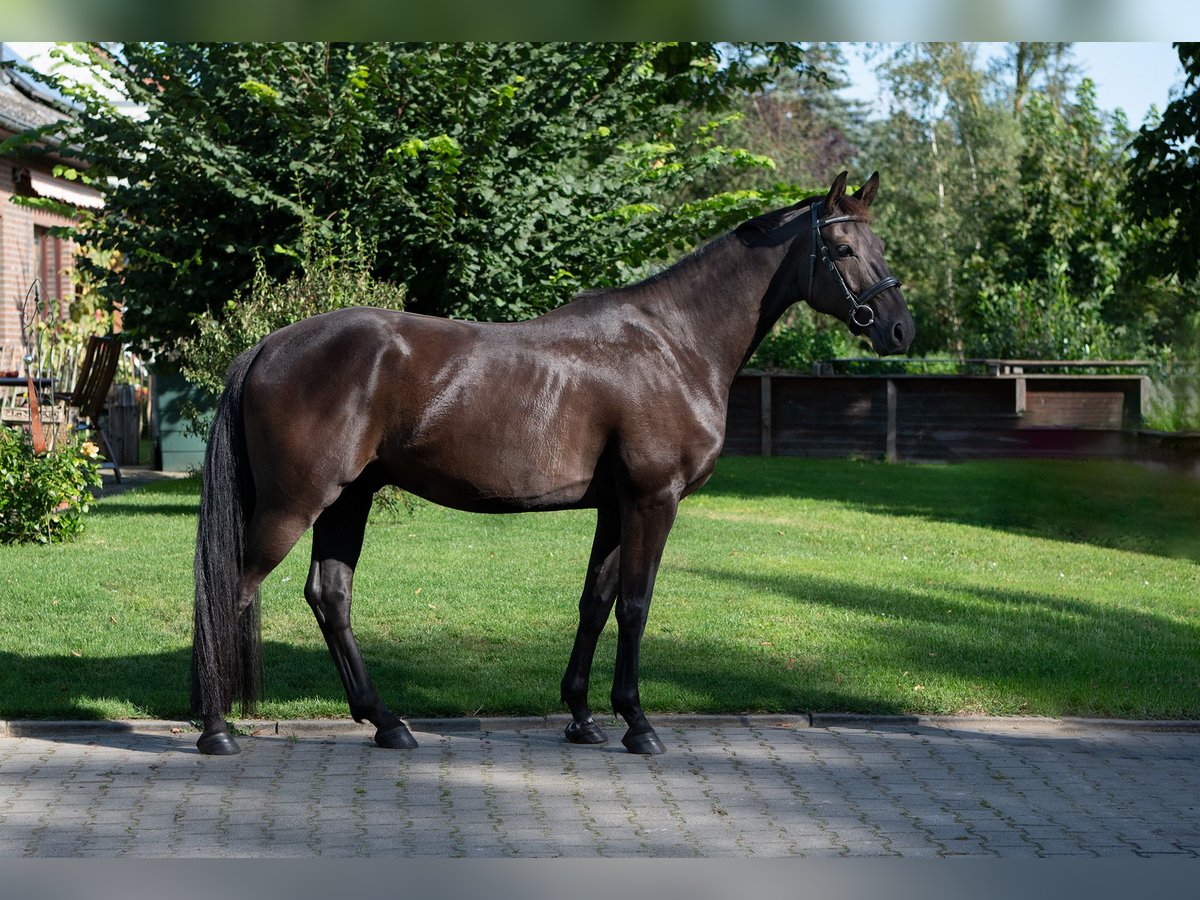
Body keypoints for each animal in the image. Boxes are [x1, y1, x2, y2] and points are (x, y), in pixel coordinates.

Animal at [192, 169, 912, 753]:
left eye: (880, 248)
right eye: (843, 249)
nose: (900, 329)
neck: (674, 343)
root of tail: (268, 345)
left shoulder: (616, 509)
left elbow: (596, 601)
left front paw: (583, 719)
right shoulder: (654, 499)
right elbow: (637, 605)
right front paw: (638, 724)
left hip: (349, 498)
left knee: (330, 596)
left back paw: (387, 723)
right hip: (296, 503)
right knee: (232, 589)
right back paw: (217, 730)